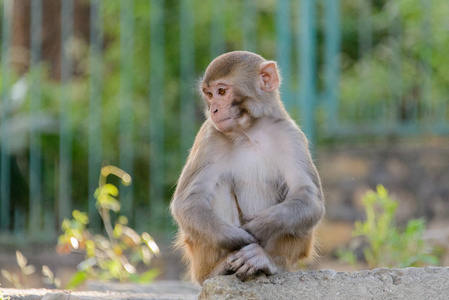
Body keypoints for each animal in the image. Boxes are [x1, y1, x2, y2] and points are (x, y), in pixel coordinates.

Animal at [170, 50, 324, 284]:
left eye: (222, 91)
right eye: (209, 94)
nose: (214, 109)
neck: (250, 132)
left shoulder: (291, 135)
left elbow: (308, 197)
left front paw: (257, 229)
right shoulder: (209, 137)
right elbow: (188, 202)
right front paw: (241, 237)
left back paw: (269, 261)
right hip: (199, 257)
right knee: (218, 186)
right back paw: (217, 270)